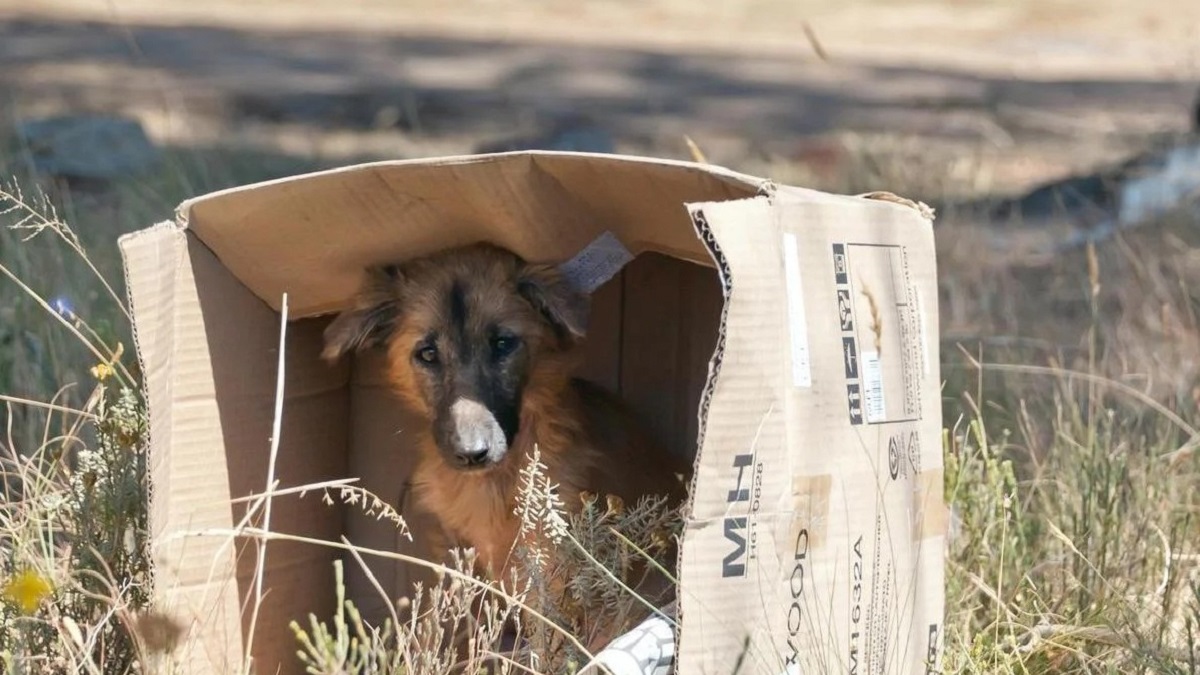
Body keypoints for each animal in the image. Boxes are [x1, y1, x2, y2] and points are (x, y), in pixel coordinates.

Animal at [321, 240, 696, 653]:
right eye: (428, 354)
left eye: (503, 343)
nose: (471, 454)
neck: (495, 481)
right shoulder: (458, 550)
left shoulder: (548, 565)